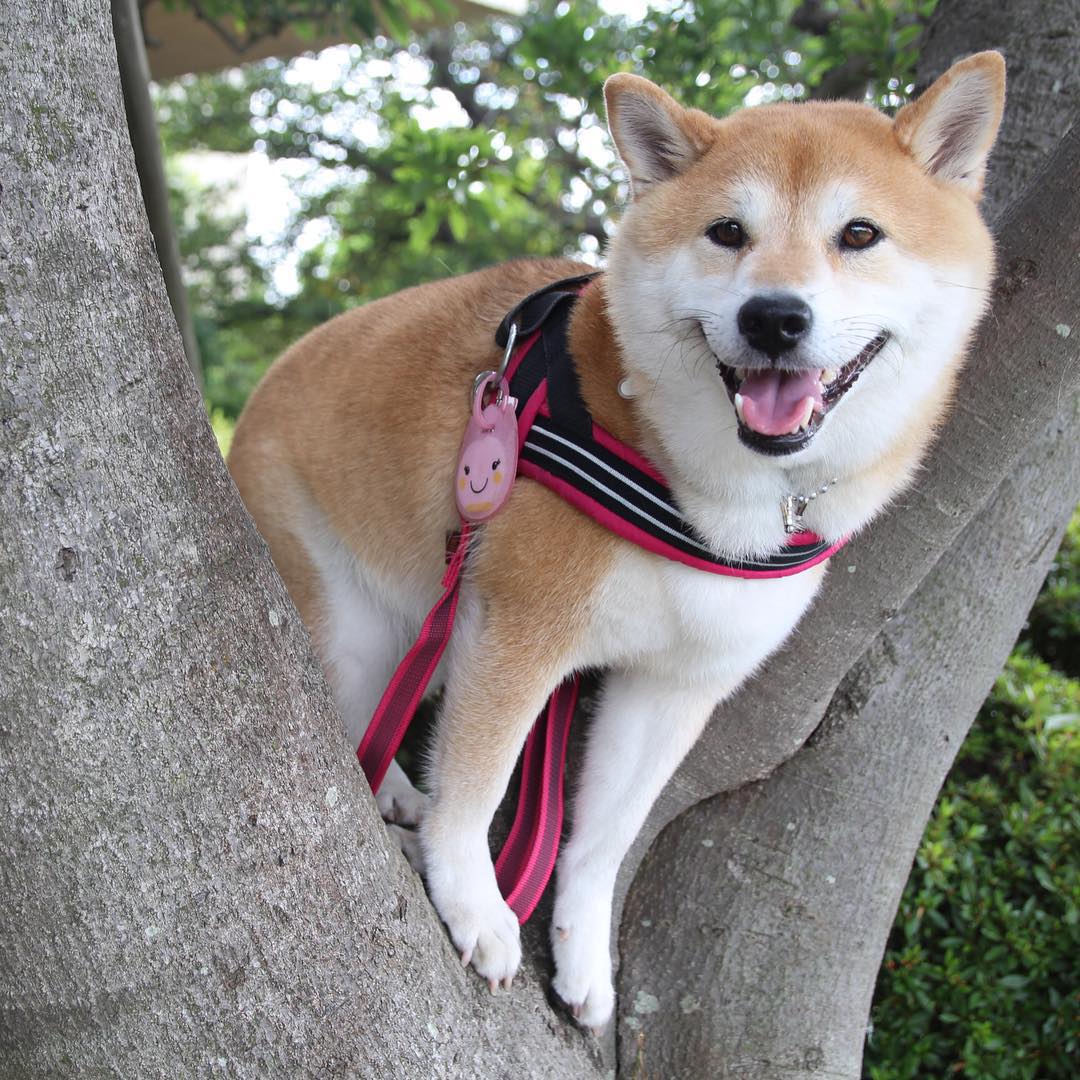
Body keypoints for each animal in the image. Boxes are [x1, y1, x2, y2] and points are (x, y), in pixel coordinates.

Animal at [227, 50, 1002, 1028]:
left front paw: (584, 954)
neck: (704, 499)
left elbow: (600, 842)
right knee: (355, 714)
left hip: (436, 615)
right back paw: (398, 793)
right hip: (363, 621)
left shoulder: (675, 685)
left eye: (860, 234)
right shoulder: (522, 633)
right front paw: (474, 901)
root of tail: (268, 380)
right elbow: (476, 785)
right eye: (727, 231)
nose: (774, 316)